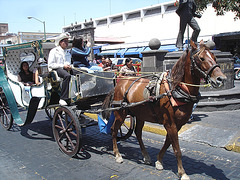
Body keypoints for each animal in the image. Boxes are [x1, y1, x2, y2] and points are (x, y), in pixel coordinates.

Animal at [102, 40, 227, 180]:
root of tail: (119, 84)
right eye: (201, 58)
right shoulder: (170, 123)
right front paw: (182, 172)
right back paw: (117, 154)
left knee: (138, 133)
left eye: (215, 57)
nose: (221, 79)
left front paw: (159, 161)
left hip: (140, 114)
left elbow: (168, 143)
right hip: (120, 113)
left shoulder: (177, 124)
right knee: (114, 129)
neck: (176, 90)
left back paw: (145, 156)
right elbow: (177, 149)